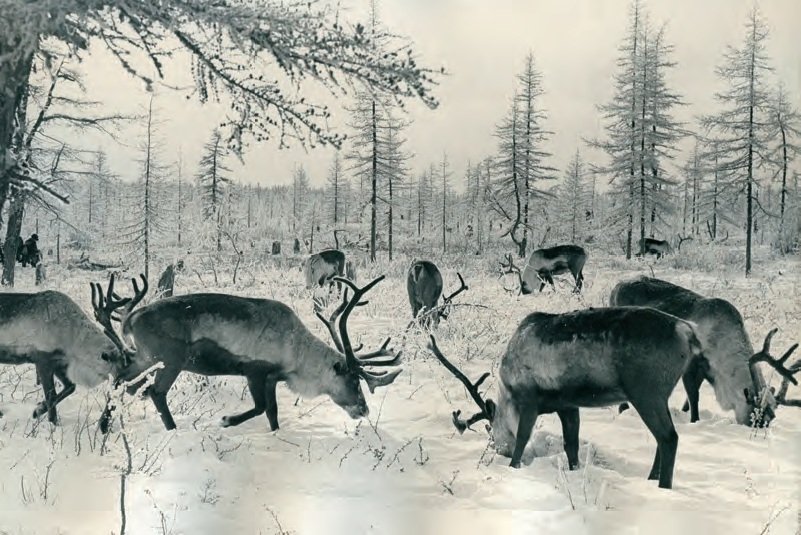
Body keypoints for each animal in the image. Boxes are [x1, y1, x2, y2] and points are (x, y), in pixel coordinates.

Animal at [0, 289, 124, 424]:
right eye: (122, 366)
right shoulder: (43, 360)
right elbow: (51, 397)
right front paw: (52, 423)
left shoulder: (60, 363)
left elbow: (70, 387)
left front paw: (38, 410)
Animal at [92, 273, 402, 432]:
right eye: (353, 380)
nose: (364, 409)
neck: (297, 354)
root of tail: (131, 318)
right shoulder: (255, 370)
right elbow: (261, 407)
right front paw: (227, 420)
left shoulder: (272, 378)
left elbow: (272, 412)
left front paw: (274, 434)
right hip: (170, 359)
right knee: (154, 392)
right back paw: (172, 429)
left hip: (145, 358)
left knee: (122, 382)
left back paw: (104, 426)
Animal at [429, 306, 712, 489]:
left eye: (491, 432)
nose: (501, 452)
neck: (509, 392)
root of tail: (688, 331)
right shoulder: (567, 405)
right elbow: (571, 445)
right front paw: (574, 472)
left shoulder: (530, 399)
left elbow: (522, 438)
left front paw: (513, 467)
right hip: (656, 395)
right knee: (661, 438)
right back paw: (651, 479)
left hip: (646, 392)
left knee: (669, 437)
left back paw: (663, 486)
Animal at [610, 276, 800, 426]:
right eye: (754, 415)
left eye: (770, 419)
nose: (759, 430)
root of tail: (616, 286)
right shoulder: (691, 364)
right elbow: (694, 396)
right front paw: (694, 420)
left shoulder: (706, 369)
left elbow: (689, 400)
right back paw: (623, 408)